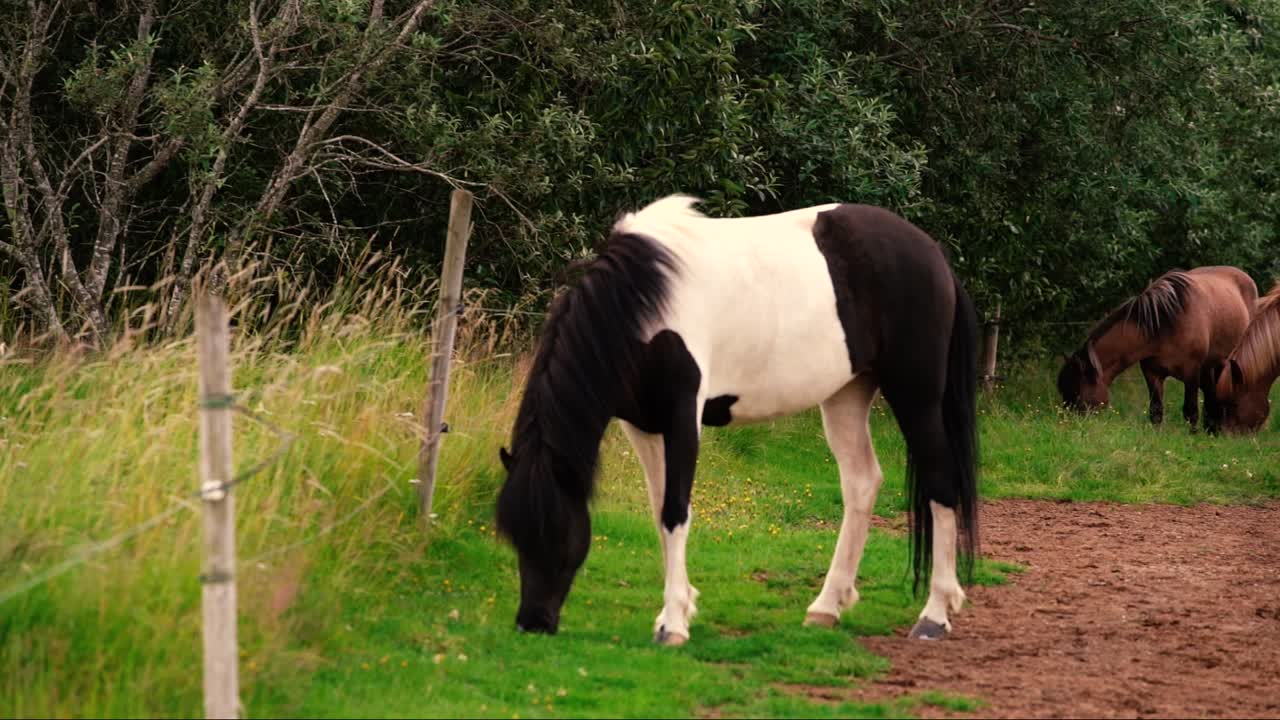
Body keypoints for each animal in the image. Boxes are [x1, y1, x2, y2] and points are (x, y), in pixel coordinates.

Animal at [495, 196, 980, 646]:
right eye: (514, 535)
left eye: (558, 532)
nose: (531, 623)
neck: (643, 302)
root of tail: (932, 253)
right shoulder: (643, 424)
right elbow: (658, 509)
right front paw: (679, 608)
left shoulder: (682, 414)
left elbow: (675, 511)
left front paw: (673, 625)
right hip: (847, 393)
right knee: (862, 482)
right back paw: (826, 606)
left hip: (916, 393)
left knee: (941, 483)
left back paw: (934, 615)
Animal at [1056, 266, 1257, 430]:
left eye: (1077, 394)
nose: (1071, 425)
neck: (1164, 324)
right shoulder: (1151, 373)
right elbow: (1156, 411)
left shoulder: (1191, 372)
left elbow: (1190, 410)